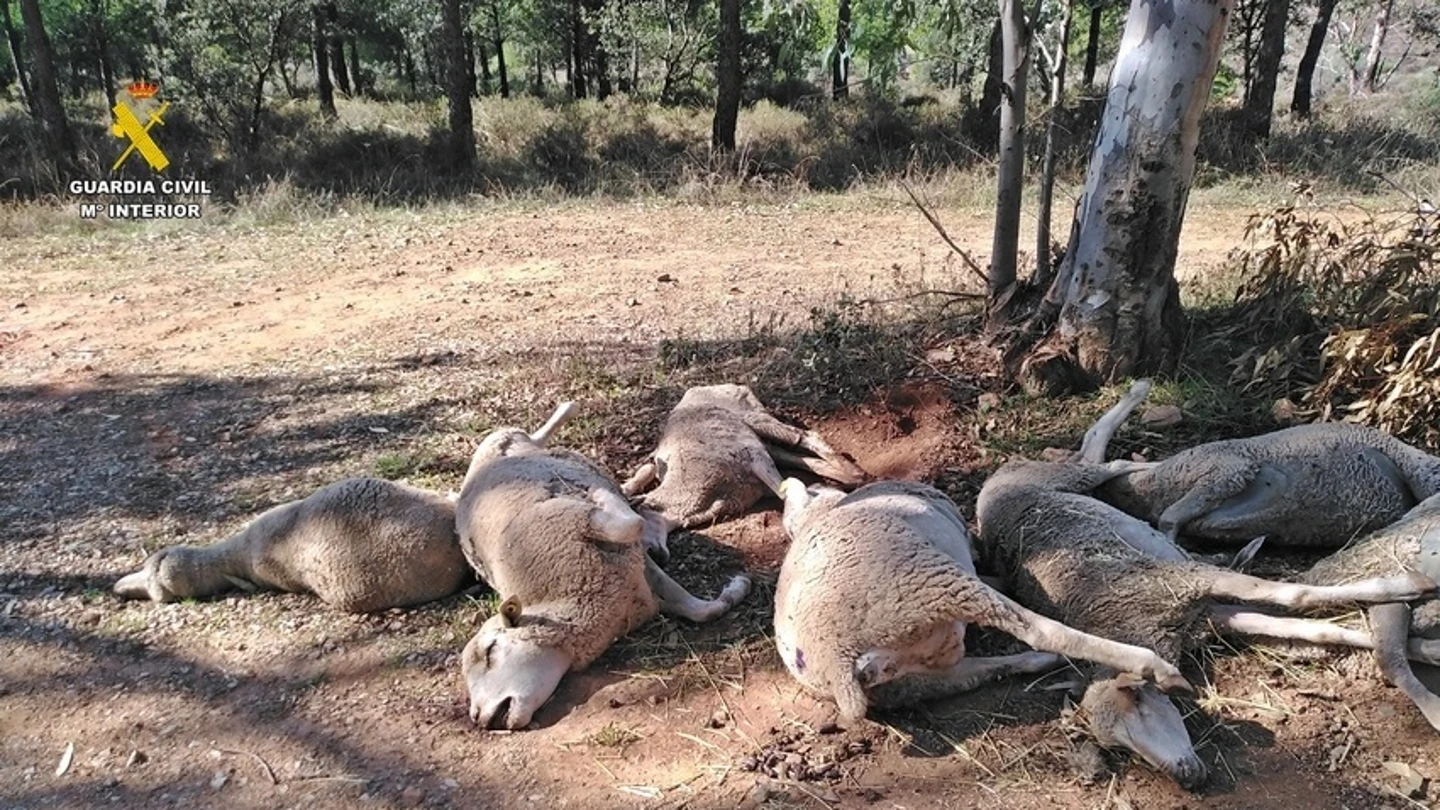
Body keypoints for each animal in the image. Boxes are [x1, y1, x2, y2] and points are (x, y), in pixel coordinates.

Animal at [456, 401, 752, 730]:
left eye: (491, 651)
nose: (479, 719)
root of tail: (471, 476)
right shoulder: (641, 584)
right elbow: (701, 611)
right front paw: (735, 591)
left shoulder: (592, 529)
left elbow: (632, 525)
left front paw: (600, 493)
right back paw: (634, 478)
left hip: (501, 440)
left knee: (533, 435)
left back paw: (576, 419)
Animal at [622, 384, 867, 531]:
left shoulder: (754, 458)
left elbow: (785, 490)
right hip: (765, 442)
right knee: (805, 459)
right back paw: (852, 474)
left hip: (756, 419)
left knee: (805, 436)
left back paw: (854, 472)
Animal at [772, 477, 1195, 730]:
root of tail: (837, 658)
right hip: (929, 583)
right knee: (1040, 629)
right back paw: (1155, 668)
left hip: (910, 679)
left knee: (965, 669)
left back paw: (1039, 662)